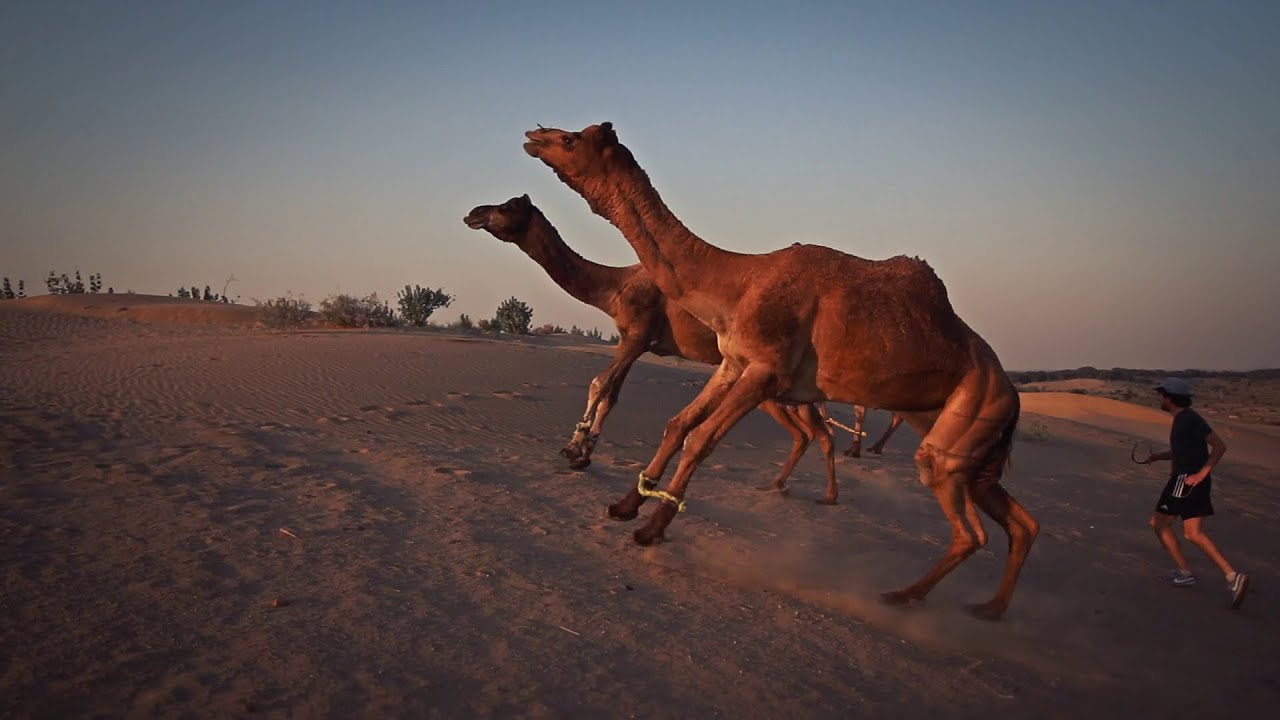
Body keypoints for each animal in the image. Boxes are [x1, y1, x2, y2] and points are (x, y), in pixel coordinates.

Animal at [463, 193, 840, 503]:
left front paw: (572, 448)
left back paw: (819, 494)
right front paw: (584, 454)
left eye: (509, 206)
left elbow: (599, 384)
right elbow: (612, 394)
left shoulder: (637, 333)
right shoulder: (633, 339)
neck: (616, 286)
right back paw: (792, 488)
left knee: (813, 432)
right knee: (813, 433)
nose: (473, 212)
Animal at [523, 122, 1038, 621]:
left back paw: (903, 595)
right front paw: (626, 504)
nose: (533, 136)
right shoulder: (733, 362)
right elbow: (678, 424)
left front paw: (651, 529)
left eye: (570, 139)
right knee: (1020, 521)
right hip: (965, 442)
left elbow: (701, 438)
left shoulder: (767, 372)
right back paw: (989, 607)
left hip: (968, 418)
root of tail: (1012, 394)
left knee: (967, 525)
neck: (738, 280)